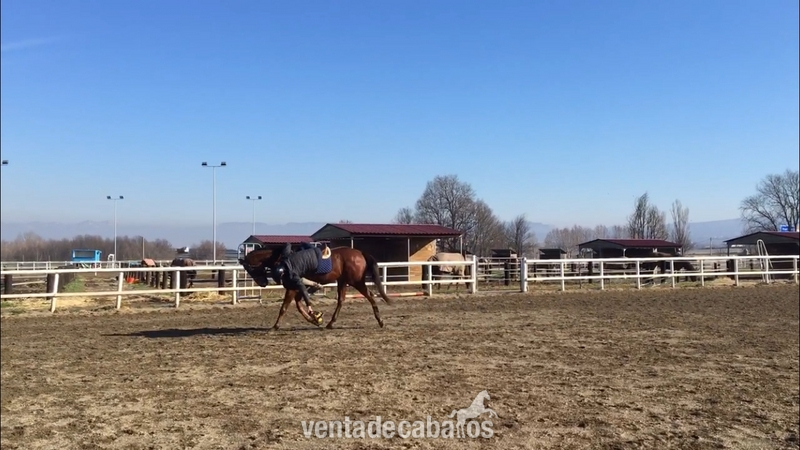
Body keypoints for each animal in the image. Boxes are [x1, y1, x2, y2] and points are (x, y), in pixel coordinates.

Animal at [239, 245, 394, 330]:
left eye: (250, 269)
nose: (262, 283)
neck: (282, 260)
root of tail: (359, 253)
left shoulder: (293, 287)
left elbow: (284, 307)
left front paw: (275, 326)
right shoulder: (299, 287)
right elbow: (299, 305)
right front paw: (314, 318)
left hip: (356, 281)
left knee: (370, 296)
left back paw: (380, 321)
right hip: (343, 281)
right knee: (341, 301)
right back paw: (331, 323)